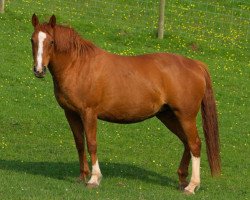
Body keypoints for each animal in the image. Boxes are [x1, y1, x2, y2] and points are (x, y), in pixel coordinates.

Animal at [30, 14, 220, 194]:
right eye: (32, 40)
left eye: (51, 41)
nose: (39, 70)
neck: (78, 65)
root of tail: (196, 65)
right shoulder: (71, 113)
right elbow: (79, 143)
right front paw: (82, 177)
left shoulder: (89, 113)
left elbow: (91, 143)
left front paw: (94, 179)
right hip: (168, 116)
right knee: (187, 143)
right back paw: (182, 181)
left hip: (185, 116)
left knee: (195, 144)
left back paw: (192, 186)